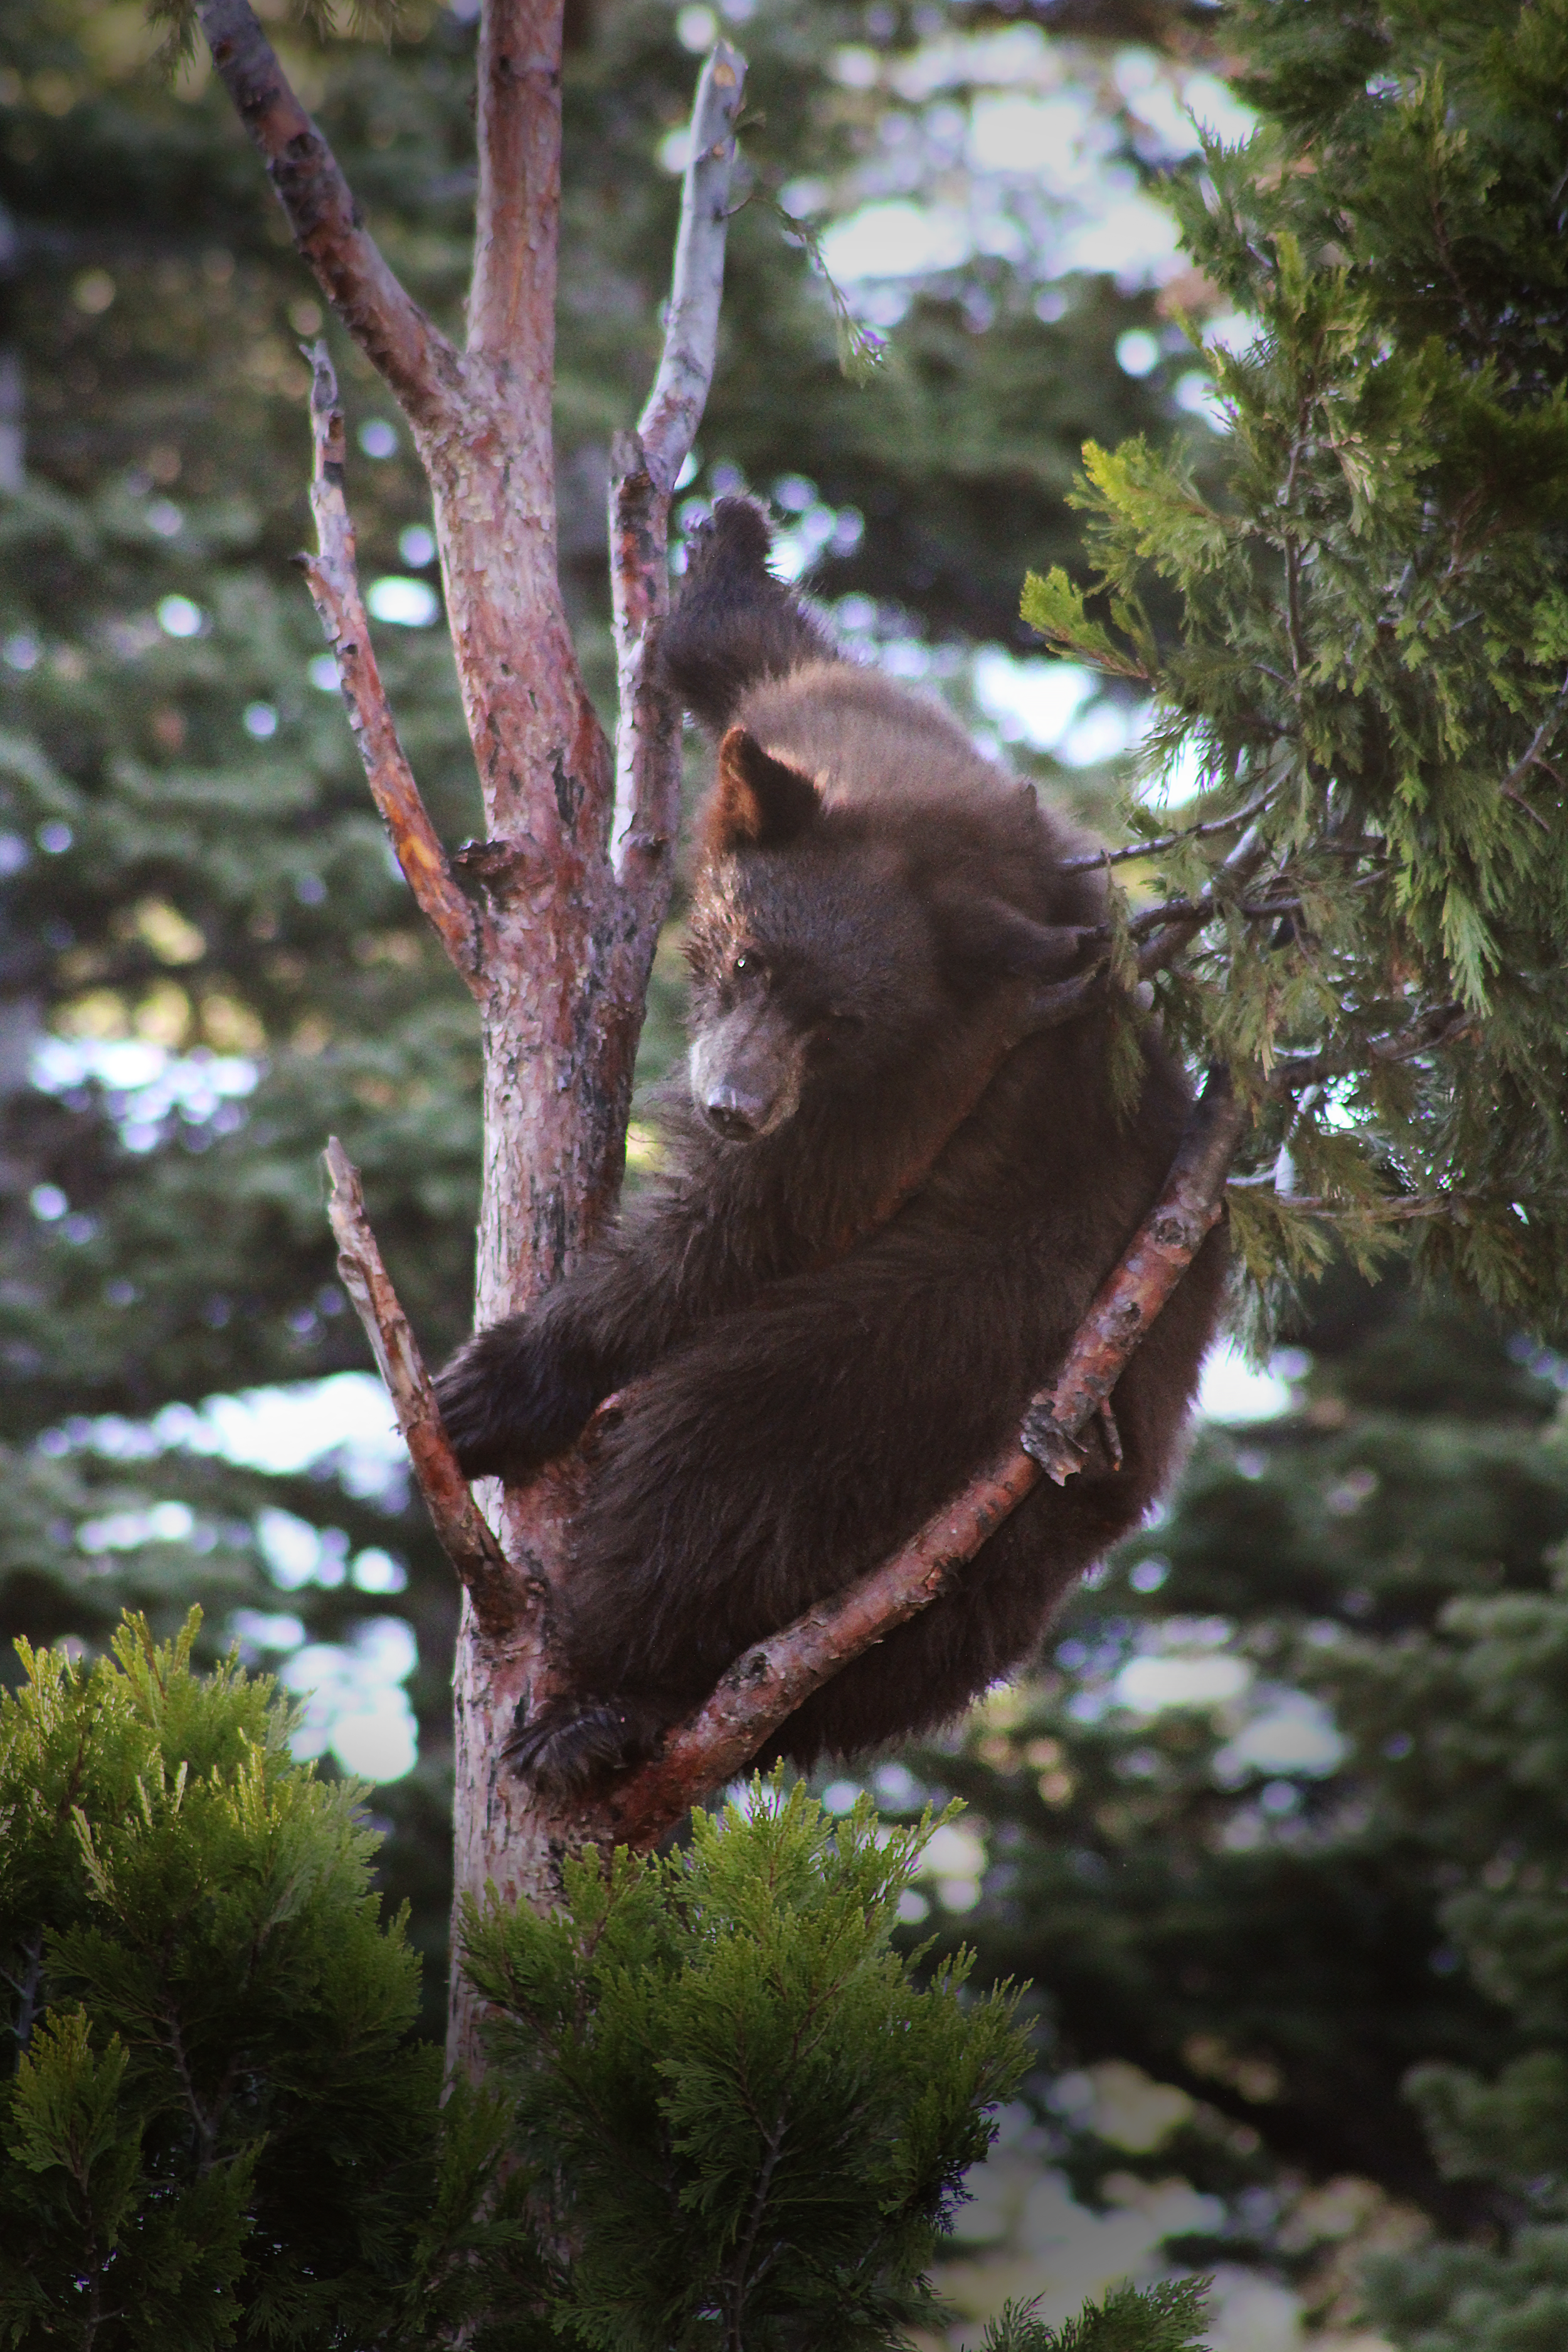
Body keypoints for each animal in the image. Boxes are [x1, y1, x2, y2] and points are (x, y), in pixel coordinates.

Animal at [434, 498, 1227, 1792]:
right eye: (750, 962)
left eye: (843, 1018)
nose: (732, 1107)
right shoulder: (844, 730)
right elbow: (758, 653)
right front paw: (728, 547)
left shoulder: (915, 1089)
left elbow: (739, 1234)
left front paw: (493, 1386)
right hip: (1000, 1542)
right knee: (911, 1657)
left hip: (922, 1344)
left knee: (715, 1463)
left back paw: (602, 1702)